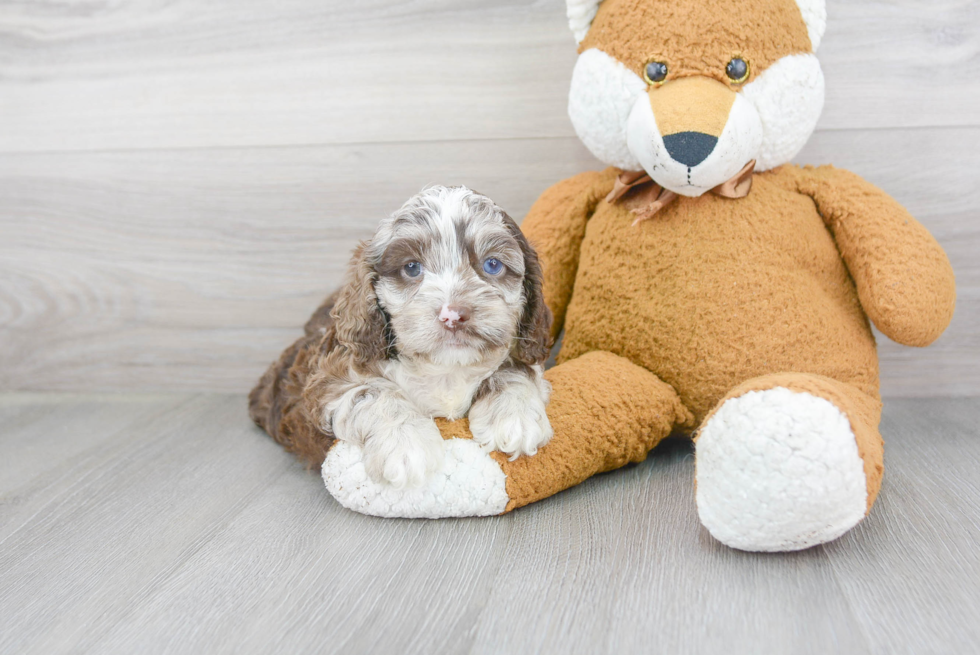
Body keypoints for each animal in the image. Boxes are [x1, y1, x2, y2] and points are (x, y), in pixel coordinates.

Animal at [249, 184, 556, 486]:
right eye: (411, 267)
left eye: (492, 265)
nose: (453, 315)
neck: (445, 368)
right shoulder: (324, 381)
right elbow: (373, 392)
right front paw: (407, 444)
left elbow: (514, 368)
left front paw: (515, 418)